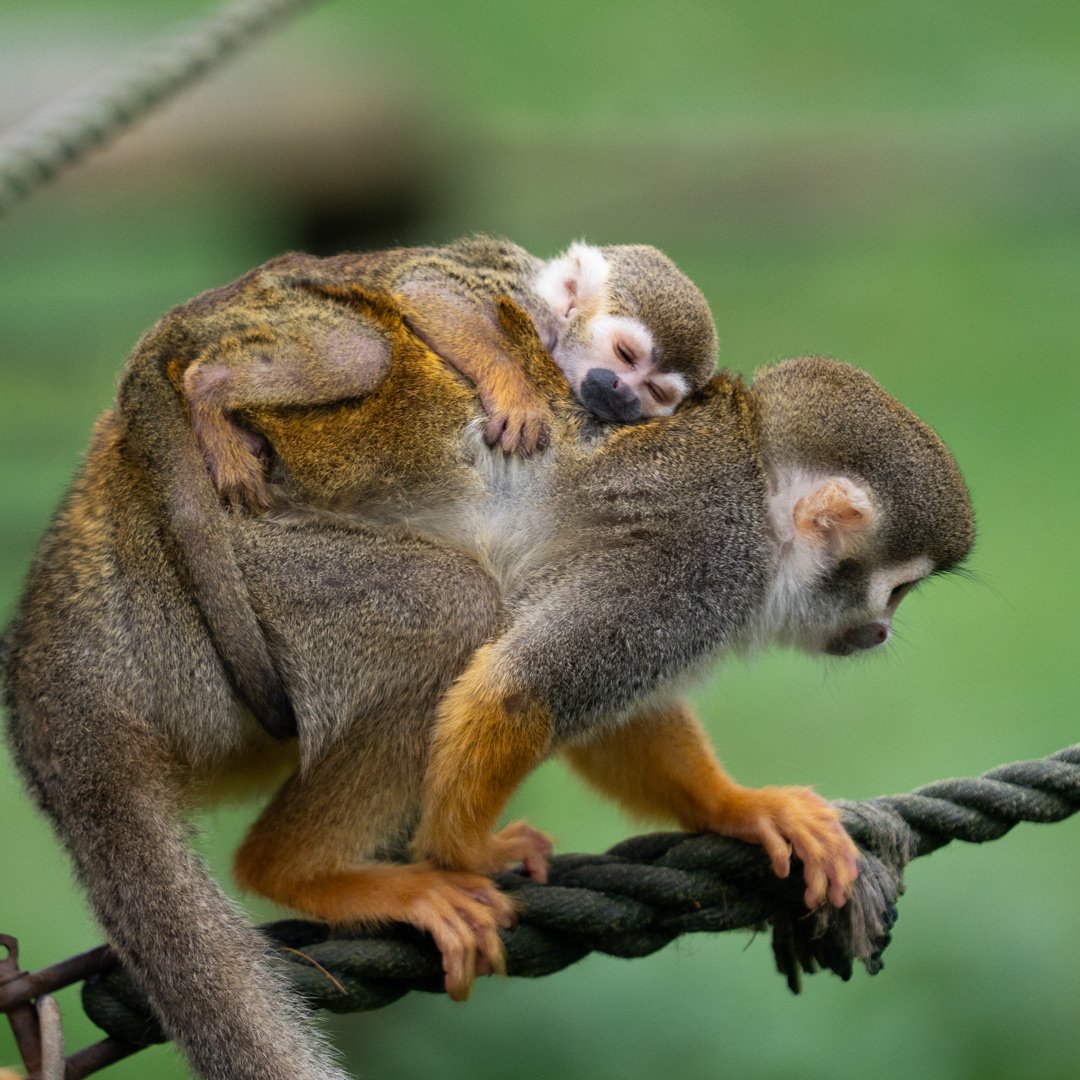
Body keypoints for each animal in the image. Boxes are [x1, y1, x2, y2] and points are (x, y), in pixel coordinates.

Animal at [2, 272, 974, 1080]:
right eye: (898, 588)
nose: (879, 631)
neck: (761, 491)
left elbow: (604, 706)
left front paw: (742, 807)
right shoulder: (705, 557)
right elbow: (520, 682)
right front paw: (466, 852)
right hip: (223, 597)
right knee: (453, 609)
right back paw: (305, 870)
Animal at [180, 237, 719, 511]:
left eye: (655, 391)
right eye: (625, 354)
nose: (622, 394)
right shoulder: (523, 303)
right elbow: (427, 289)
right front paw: (517, 396)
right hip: (277, 307)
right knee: (362, 354)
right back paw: (207, 391)